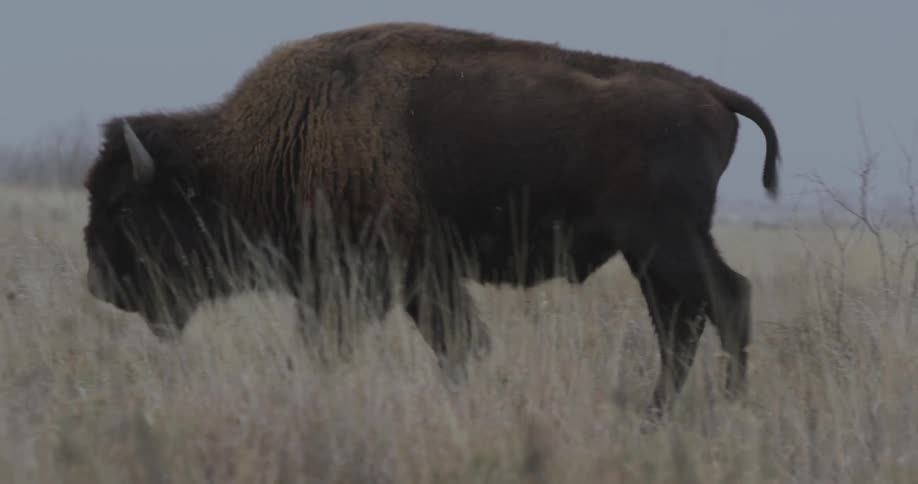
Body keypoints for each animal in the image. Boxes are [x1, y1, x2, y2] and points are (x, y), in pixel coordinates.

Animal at [83, 22, 780, 419]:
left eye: (123, 205)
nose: (97, 283)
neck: (281, 139)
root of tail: (710, 93)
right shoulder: (391, 282)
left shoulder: (392, 275)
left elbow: (440, 343)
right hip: (653, 252)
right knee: (684, 320)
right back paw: (657, 412)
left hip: (664, 242)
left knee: (725, 301)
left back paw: (723, 405)